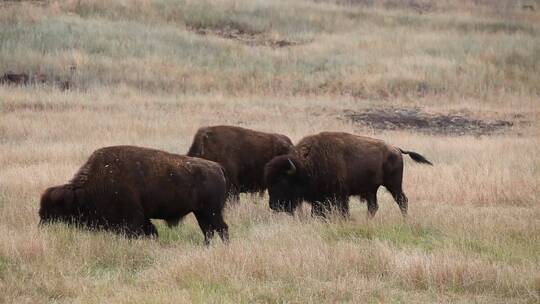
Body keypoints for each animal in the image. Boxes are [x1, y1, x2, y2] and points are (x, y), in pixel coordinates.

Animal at [39, 145, 229, 245]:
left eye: (55, 209)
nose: (42, 225)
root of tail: (217, 168)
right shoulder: (141, 218)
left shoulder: (132, 219)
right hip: (201, 213)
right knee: (209, 231)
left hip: (211, 212)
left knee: (221, 229)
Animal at [264, 132, 432, 217]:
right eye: (269, 182)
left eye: (282, 181)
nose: (273, 205)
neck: (305, 165)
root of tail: (396, 149)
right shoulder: (319, 198)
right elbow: (317, 212)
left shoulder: (340, 195)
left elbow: (343, 211)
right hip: (372, 189)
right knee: (373, 207)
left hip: (394, 185)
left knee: (402, 201)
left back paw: (405, 220)